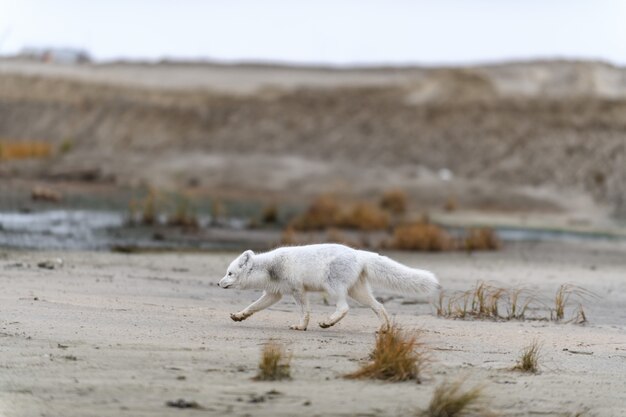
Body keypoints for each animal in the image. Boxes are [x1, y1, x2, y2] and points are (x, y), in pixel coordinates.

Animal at [217, 244, 436, 328]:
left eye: (230, 273)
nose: (218, 283)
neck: (270, 267)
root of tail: (359, 254)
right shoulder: (274, 294)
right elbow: (253, 307)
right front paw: (239, 316)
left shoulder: (298, 290)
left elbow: (305, 311)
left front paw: (301, 326)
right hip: (358, 292)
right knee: (379, 306)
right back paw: (384, 329)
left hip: (333, 288)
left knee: (344, 308)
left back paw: (328, 322)